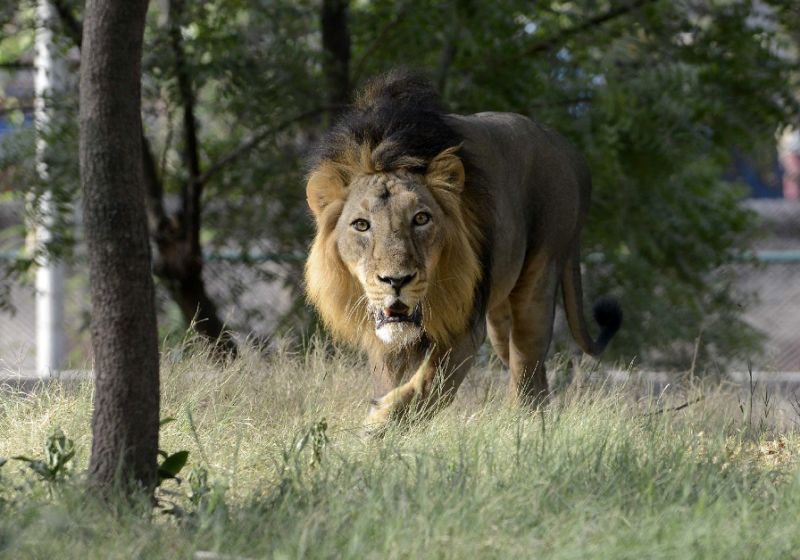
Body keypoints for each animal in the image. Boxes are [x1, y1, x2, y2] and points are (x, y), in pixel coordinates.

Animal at [304, 70, 620, 428]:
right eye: (361, 225)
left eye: (421, 218)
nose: (396, 281)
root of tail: (569, 151)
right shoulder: (384, 338)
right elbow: (393, 380)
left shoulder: (465, 324)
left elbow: (429, 385)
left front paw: (380, 422)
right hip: (500, 316)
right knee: (532, 373)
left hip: (540, 277)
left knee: (527, 366)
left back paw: (519, 425)